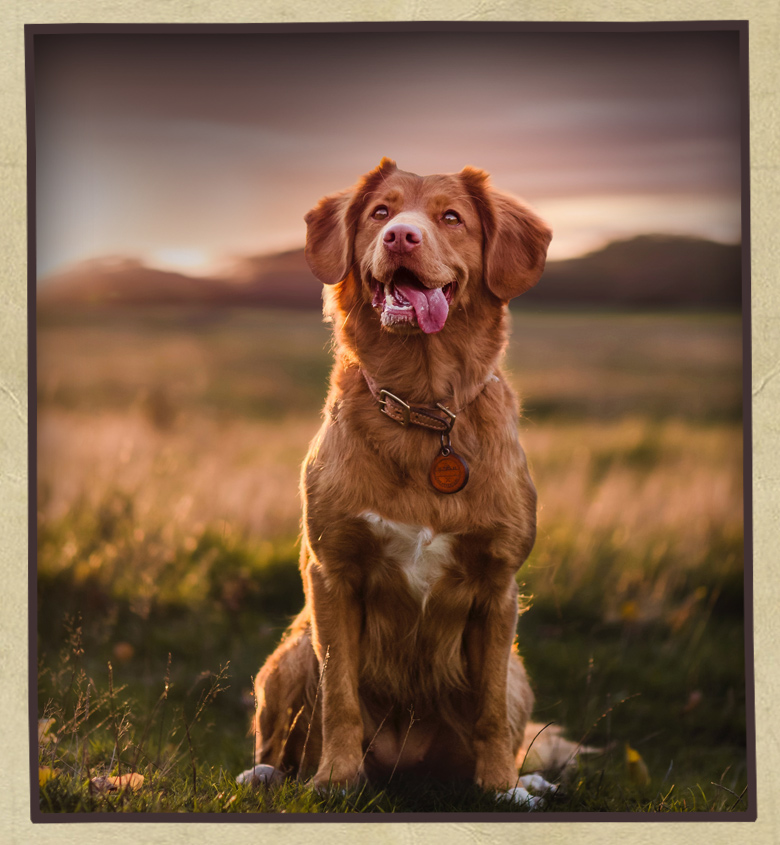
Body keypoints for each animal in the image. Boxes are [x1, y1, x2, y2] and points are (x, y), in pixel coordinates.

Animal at [239, 160, 560, 804]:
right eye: (380, 213)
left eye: (451, 217)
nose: (400, 237)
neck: (423, 409)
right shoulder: (332, 575)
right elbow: (339, 696)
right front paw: (336, 779)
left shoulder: (498, 587)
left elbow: (489, 710)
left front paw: (499, 786)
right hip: (289, 653)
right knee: (277, 741)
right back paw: (267, 774)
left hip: (518, 671)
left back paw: (527, 780)